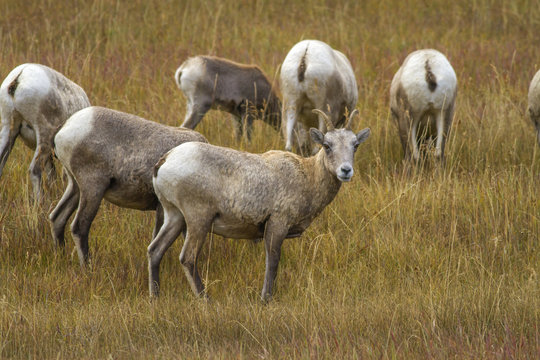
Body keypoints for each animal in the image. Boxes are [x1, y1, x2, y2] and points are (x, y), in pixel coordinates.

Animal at [49, 105, 208, 266]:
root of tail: (65, 126)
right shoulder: (164, 210)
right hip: (92, 189)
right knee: (79, 227)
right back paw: (87, 267)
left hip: (75, 187)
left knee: (57, 217)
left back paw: (60, 256)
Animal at [150, 109, 370, 300]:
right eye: (327, 145)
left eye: (355, 145)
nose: (345, 170)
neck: (308, 177)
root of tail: (166, 160)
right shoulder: (277, 224)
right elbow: (272, 263)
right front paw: (266, 299)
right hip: (198, 220)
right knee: (187, 258)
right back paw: (205, 299)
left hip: (174, 216)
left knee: (155, 250)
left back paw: (155, 297)